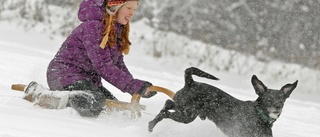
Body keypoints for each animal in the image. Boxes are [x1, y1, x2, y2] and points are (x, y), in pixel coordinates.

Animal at [149, 67, 298, 136]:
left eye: (281, 100)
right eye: (268, 99)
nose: (277, 107)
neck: (258, 115)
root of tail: (191, 83)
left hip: (182, 107)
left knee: (167, 104)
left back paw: (152, 122)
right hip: (187, 115)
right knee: (165, 113)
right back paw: (151, 125)